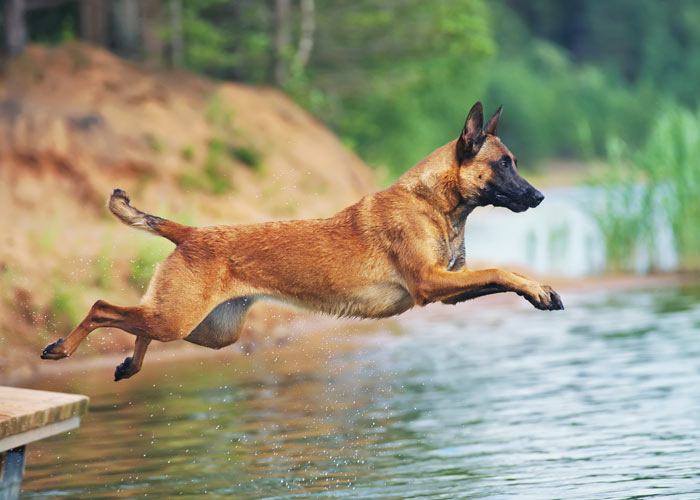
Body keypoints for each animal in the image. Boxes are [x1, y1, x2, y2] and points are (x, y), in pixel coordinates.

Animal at [41, 102, 564, 382]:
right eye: (503, 164)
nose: (540, 196)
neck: (434, 202)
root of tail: (190, 232)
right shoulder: (431, 285)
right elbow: (500, 269)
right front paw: (539, 288)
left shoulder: (447, 288)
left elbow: (498, 274)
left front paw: (537, 290)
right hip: (179, 318)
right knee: (103, 307)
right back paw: (62, 349)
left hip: (208, 330)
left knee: (137, 324)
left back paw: (129, 366)